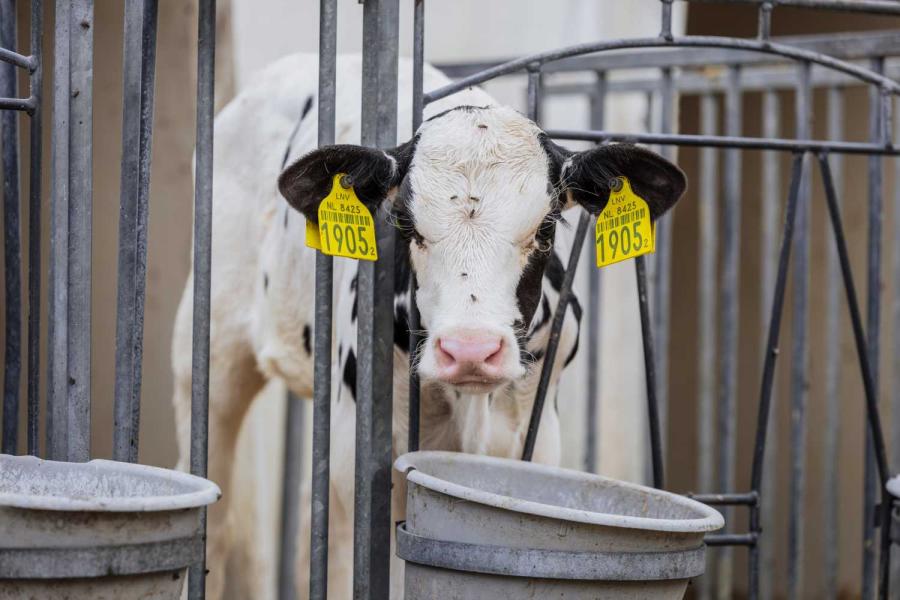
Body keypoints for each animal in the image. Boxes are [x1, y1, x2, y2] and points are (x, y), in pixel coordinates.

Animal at [169, 52, 684, 600]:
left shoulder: (537, 439)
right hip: (207, 359)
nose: (471, 350)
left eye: (546, 227)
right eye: (406, 224)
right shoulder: (364, 460)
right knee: (220, 525)